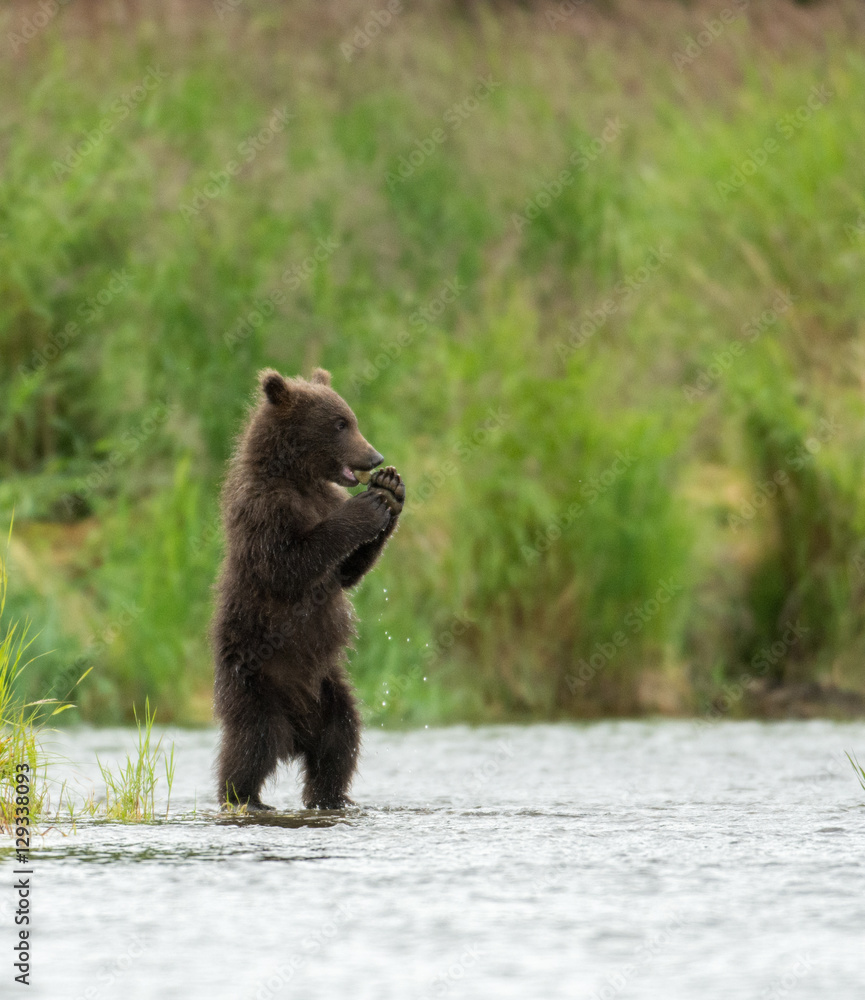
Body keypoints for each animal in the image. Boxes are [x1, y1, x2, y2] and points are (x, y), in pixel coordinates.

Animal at [211, 367, 405, 810]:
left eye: (350, 418)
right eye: (340, 424)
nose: (375, 458)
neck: (297, 478)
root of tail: (297, 735)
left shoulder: (323, 496)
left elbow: (346, 572)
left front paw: (391, 490)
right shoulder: (265, 512)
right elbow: (290, 564)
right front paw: (366, 507)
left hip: (330, 690)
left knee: (341, 739)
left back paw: (332, 796)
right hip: (255, 681)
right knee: (251, 743)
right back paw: (243, 796)